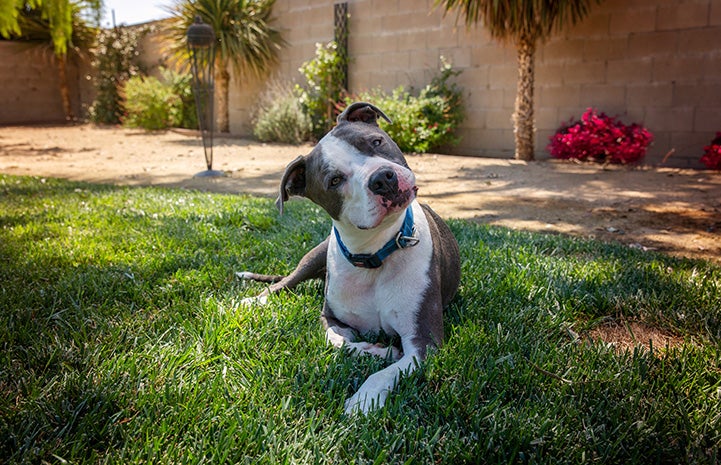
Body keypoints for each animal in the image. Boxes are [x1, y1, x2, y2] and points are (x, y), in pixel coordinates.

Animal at [239, 101, 458, 414]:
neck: (374, 253)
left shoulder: (423, 341)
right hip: (315, 256)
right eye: (334, 180)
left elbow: (385, 373)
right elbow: (337, 341)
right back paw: (253, 300)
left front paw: (364, 398)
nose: (382, 178)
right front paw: (372, 350)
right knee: (283, 283)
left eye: (376, 142)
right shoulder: (328, 317)